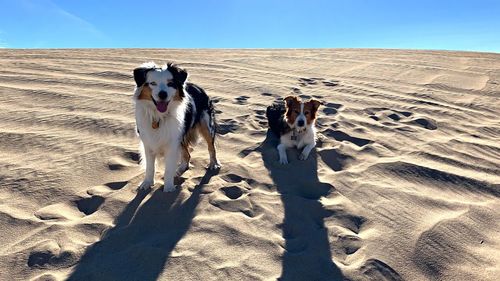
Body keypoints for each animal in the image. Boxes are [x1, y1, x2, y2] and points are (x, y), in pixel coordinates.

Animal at [134, 62, 220, 191]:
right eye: (153, 83)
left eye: (170, 84)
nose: (162, 94)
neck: (159, 117)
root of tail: (197, 86)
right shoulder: (148, 142)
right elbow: (150, 167)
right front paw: (147, 183)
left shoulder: (172, 142)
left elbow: (169, 168)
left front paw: (168, 188)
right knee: (187, 155)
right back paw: (180, 169)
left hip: (206, 126)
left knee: (211, 147)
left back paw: (213, 164)